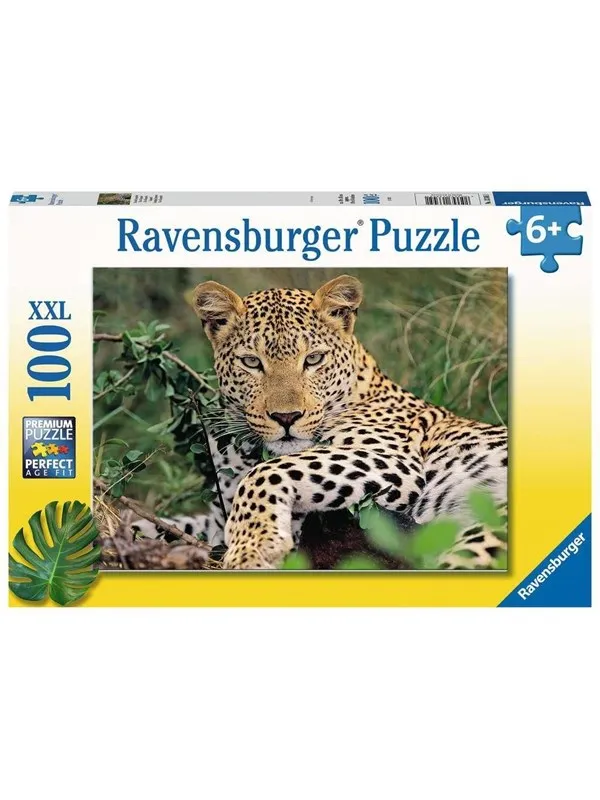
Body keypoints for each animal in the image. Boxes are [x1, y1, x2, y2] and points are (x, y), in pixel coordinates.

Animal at [133, 275, 508, 570]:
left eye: (313, 359)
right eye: (252, 362)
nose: (286, 417)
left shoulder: (393, 461)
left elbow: (267, 472)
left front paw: (253, 547)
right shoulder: (216, 517)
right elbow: (168, 524)